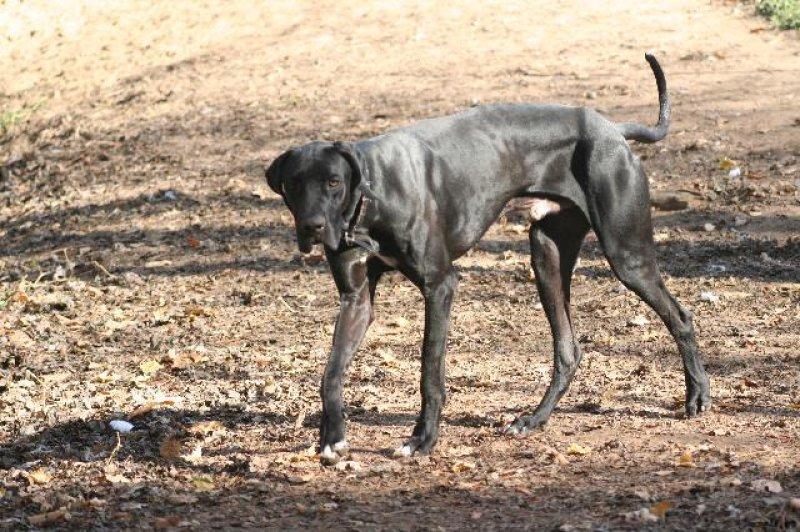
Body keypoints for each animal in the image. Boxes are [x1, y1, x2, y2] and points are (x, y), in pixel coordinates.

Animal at [266, 54, 711, 464]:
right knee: (568, 350)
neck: (369, 199)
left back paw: (698, 396)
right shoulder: (355, 300)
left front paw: (422, 439)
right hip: (546, 255)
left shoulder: (440, 286)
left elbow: (430, 367)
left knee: (679, 316)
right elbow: (331, 371)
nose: (312, 227)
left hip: (626, 255)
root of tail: (613, 130)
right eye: (293, 184)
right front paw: (332, 436)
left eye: (333, 182)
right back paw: (533, 420)